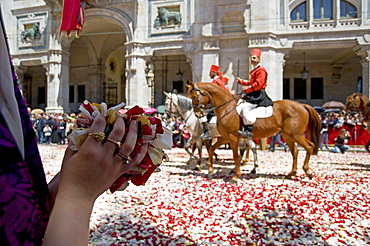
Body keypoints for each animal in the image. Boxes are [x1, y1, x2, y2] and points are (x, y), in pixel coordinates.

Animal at [188, 81, 320, 183]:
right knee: (295, 151)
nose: (197, 115)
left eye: (194, 97)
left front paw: (235, 176)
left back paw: (307, 172)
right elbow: (211, 149)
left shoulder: (232, 137)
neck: (226, 108)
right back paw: (291, 173)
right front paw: (210, 171)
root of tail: (302, 105)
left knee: (310, 146)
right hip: (287, 136)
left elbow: (235, 156)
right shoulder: (225, 137)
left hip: (296, 135)